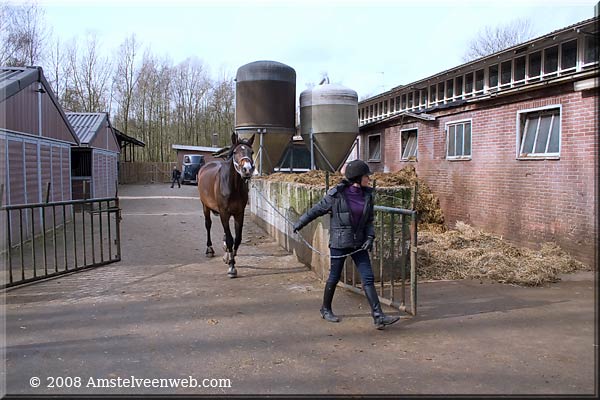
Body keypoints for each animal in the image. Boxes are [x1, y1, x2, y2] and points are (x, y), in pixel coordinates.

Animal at [197, 133, 253, 276]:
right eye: (235, 152)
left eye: (251, 152)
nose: (247, 170)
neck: (232, 186)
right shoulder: (224, 212)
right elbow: (229, 239)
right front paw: (232, 267)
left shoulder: (239, 213)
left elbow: (237, 239)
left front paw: (229, 257)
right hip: (205, 206)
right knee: (208, 225)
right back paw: (209, 249)